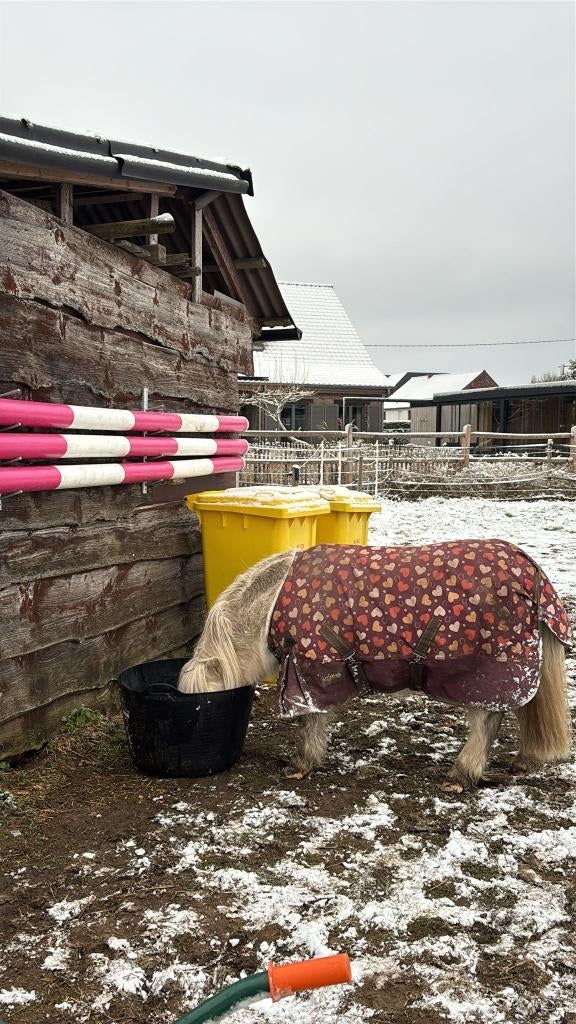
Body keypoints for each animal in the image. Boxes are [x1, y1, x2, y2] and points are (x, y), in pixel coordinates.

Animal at [178, 541, 572, 792]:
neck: (272, 604)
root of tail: (532, 572)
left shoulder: (309, 676)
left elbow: (310, 723)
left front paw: (300, 765)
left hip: (481, 677)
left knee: (487, 724)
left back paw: (461, 774)